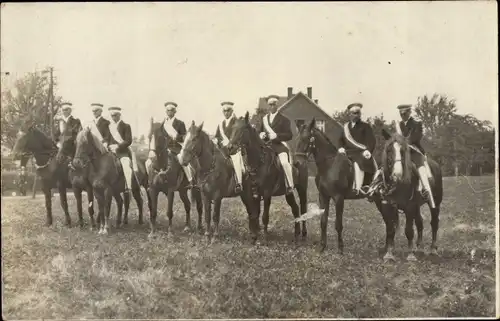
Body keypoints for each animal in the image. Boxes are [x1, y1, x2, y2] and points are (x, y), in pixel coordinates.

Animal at [227, 111, 308, 244]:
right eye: (232, 129)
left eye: (243, 129)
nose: (230, 148)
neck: (259, 162)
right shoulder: (252, 193)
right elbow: (255, 214)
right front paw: (255, 237)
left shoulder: (266, 193)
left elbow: (265, 216)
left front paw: (265, 237)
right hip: (288, 192)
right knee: (295, 208)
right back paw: (296, 234)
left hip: (302, 189)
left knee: (303, 208)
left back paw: (304, 234)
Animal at [294, 119, 400, 258]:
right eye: (297, 138)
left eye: (307, 138)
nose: (297, 163)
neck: (329, 166)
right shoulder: (323, 197)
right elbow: (323, 222)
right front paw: (322, 247)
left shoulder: (339, 198)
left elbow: (338, 224)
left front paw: (340, 249)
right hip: (379, 201)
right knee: (389, 222)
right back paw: (386, 249)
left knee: (390, 222)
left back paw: (389, 251)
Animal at [380, 126, 444, 258]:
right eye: (388, 150)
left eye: (403, 151)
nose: (397, 174)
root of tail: (435, 164)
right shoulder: (387, 206)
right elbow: (390, 229)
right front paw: (389, 254)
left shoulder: (409, 207)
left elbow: (408, 230)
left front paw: (410, 255)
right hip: (417, 206)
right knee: (420, 222)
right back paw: (419, 247)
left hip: (435, 204)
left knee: (434, 223)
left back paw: (432, 249)